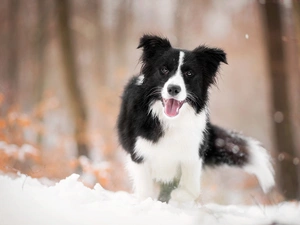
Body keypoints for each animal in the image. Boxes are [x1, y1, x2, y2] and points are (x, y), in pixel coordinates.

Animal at [116, 34, 274, 202]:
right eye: (164, 69)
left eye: (189, 73)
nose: (173, 89)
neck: (171, 121)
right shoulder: (139, 155)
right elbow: (145, 192)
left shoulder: (193, 152)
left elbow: (190, 189)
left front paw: (179, 195)